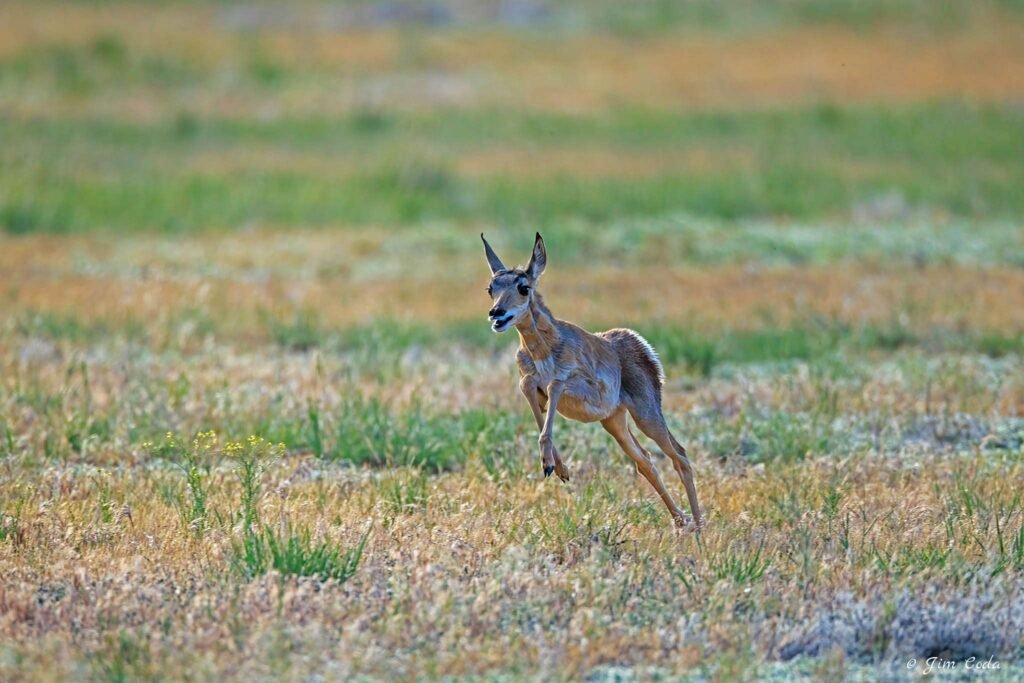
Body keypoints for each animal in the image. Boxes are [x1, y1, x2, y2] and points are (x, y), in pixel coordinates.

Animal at [481, 232, 703, 530]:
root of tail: (638, 344)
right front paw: (558, 468)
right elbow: (528, 388)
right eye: (491, 287)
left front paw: (549, 464)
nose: (496, 313)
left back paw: (699, 528)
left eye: (523, 287)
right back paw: (681, 521)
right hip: (614, 421)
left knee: (680, 456)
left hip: (646, 415)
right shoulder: (532, 386)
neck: (546, 348)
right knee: (645, 461)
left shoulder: (579, 388)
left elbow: (554, 384)